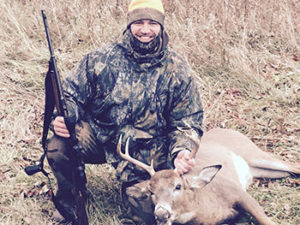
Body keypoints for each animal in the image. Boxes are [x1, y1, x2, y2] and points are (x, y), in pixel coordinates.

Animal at [116, 127, 300, 224]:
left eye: (178, 186)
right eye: (151, 192)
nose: (161, 215)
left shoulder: (238, 191)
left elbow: (266, 220)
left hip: (253, 153)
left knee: (294, 166)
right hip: (261, 170)